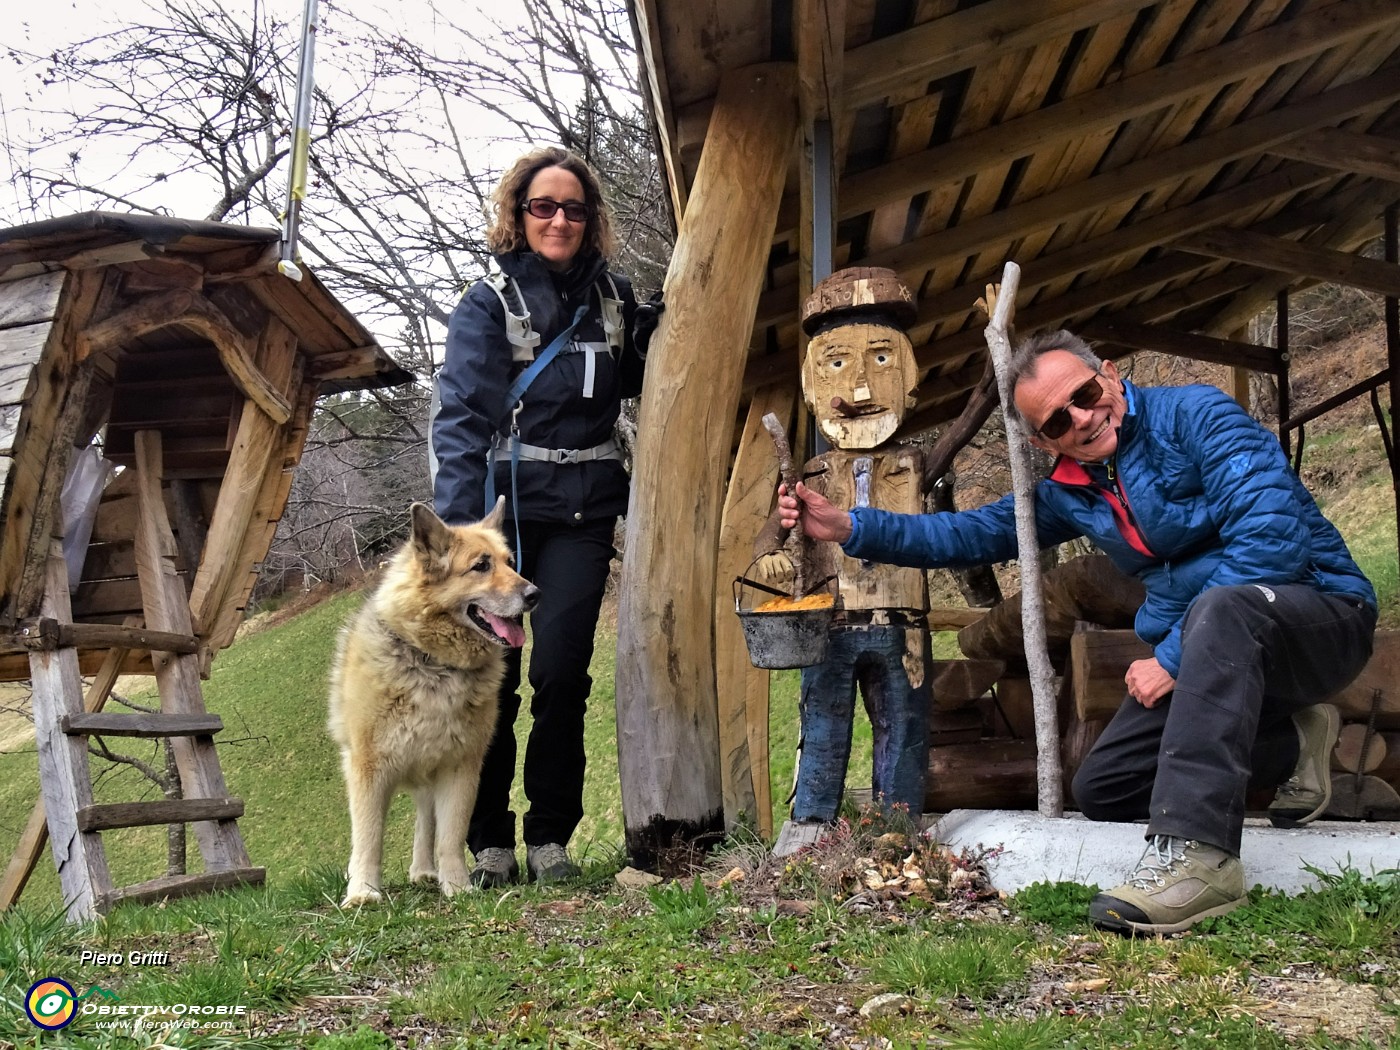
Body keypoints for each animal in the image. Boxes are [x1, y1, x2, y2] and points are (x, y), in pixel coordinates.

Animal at [327, 498, 534, 907]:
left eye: (510, 562)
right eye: (481, 565)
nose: (534, 594)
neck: (433, 664)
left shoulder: (460, 768)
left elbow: (450, 837)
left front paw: (457, 886)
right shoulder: (368, 768)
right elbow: (368, 836)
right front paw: (363, 892)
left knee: (426, 822)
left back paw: (424, 871)